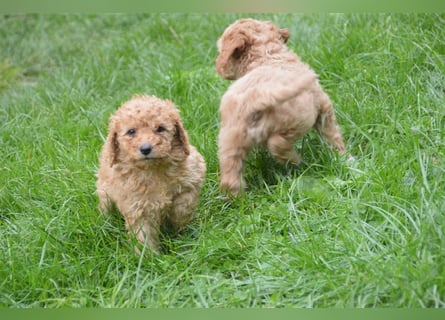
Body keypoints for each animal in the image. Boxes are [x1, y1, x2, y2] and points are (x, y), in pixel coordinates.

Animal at [96, 94, 206, 254]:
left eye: (160, 128)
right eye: (131, 131)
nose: (146, 149)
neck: (153, 169)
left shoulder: (193, 177)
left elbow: (183, 205)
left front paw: (176, 224)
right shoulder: (137, 207)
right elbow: (143, 234)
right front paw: (149, 256)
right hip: (104, 191)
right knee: (105, 207)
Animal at [215, 19, 346, 195]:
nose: (218, 67)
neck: (267, 55)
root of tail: (256, 96)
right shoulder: (324, 108)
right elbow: (333, 136)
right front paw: (344, 158)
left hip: (229, 140)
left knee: (230, 176)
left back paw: (237, 197)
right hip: (297, 120)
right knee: (277, 144)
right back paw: (296, 161)